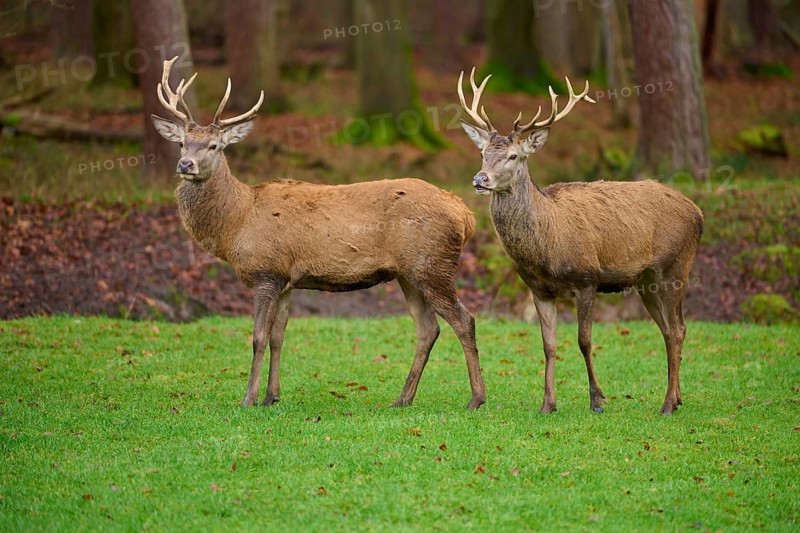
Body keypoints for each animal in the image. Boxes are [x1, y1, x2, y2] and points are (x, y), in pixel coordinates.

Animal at [148, 58, 486, 410]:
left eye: (213, 145)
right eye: (182, 143)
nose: (185, 164)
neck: (237, 221)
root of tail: (465, 215)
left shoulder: (265, 272)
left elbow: (258, 336)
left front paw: (248, 399)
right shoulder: (285, 279)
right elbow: (278, 336)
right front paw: (271, 396)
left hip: (432, 266)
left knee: (464, 321)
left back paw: (476, 399)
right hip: (409, 273)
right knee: (428, 328)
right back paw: (402, 398)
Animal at [457, 68, 703, 416]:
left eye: (513, 155)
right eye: (482, 153)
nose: (481, 179)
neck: (546, 246)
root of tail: (698, 212)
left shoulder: (587, 279)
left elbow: (584, 341)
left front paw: (597, 400)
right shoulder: (539, 289)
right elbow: (548, 344)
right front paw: (547, 404)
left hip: (675, 266)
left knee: (678, 329)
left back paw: (667, 404)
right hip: (646, 280)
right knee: (670, 329)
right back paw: (677, 398)